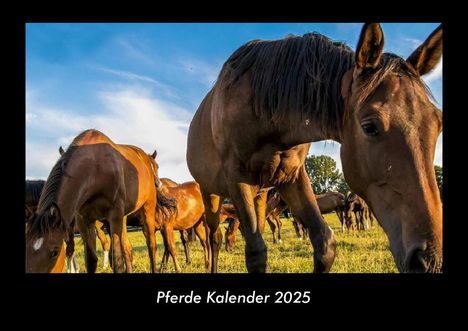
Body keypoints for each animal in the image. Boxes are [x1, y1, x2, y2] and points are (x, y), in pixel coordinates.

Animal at [26, 128, 165, 274]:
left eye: (54, 252)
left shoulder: (114, 215)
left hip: (147, 209)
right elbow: (91, 259)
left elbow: (116, 260)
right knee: (127, 249)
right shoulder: (84, 220)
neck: (95, 169)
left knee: (151, 245)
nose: (158, 184)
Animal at [187, 22, 442, 272]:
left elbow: (324, 244)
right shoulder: (237, 180)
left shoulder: (292, 177)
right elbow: (256, 254)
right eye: (369, 127)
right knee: (214, 237)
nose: (429, 260)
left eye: (438, 123)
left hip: (259, 195)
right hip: (211, 194)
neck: (262, 108)